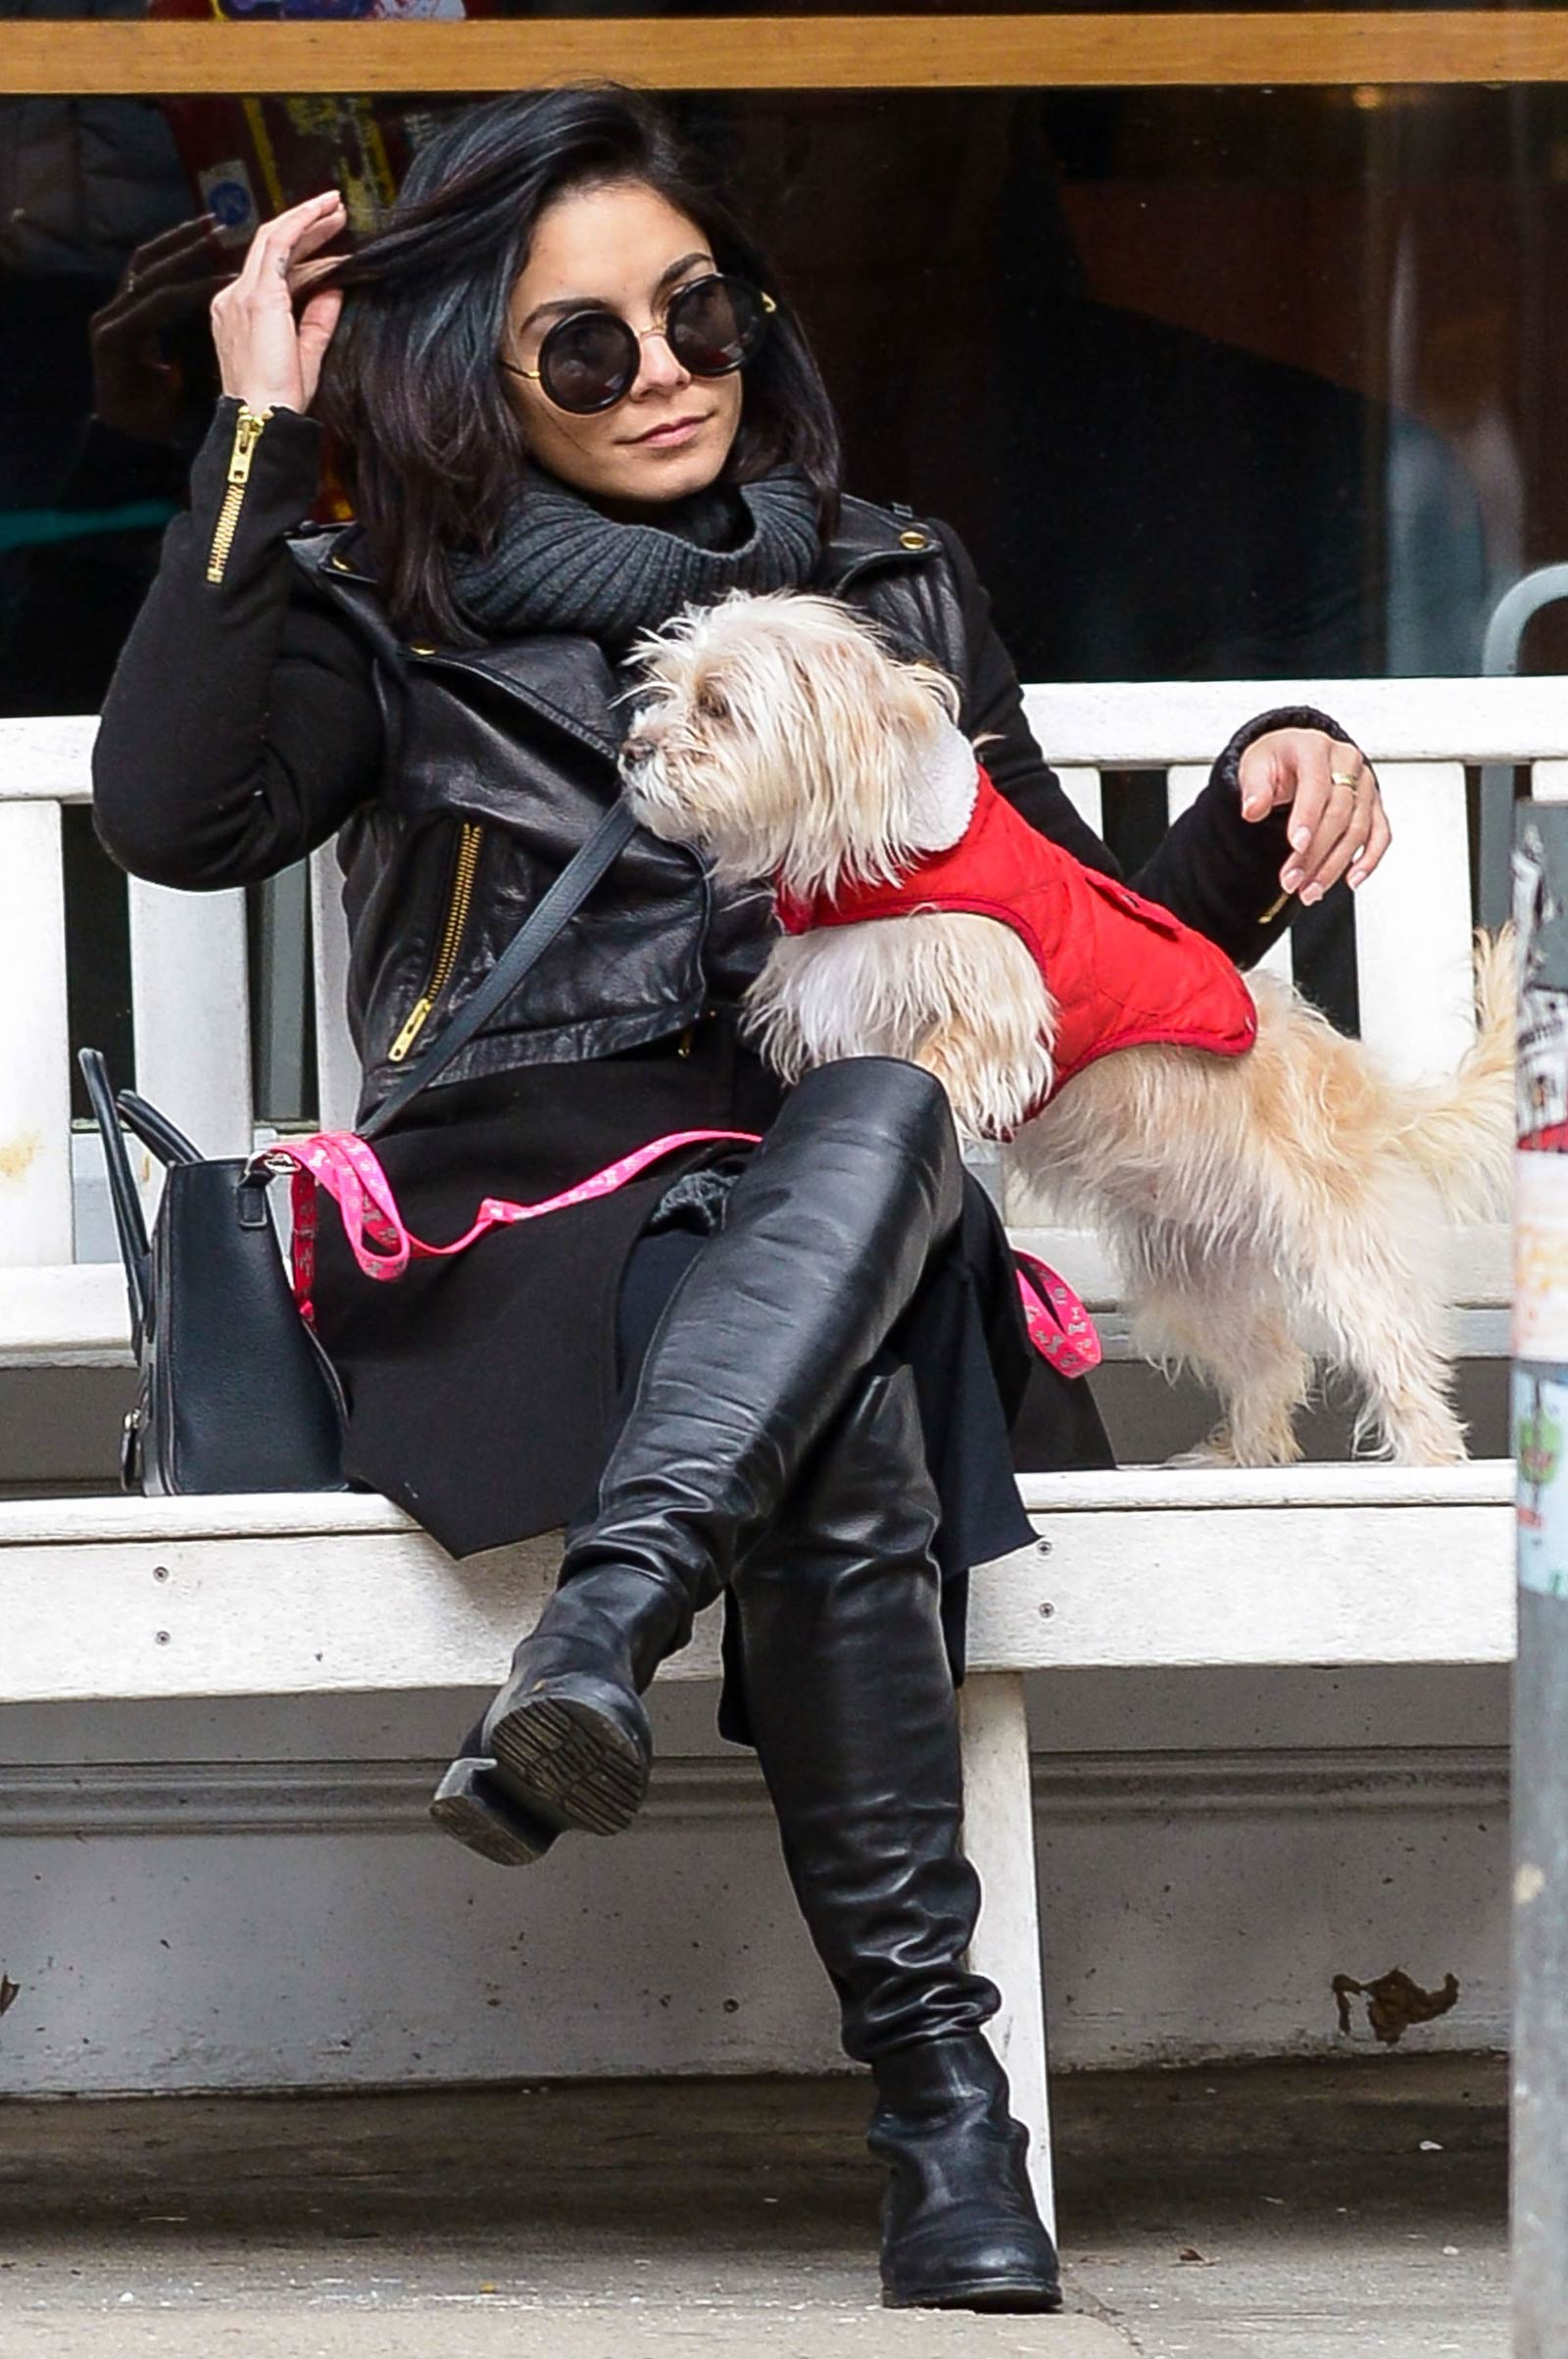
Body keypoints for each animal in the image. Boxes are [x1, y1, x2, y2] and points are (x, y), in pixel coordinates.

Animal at [617, 589, 1508, 1462]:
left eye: (719, 705)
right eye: (661, 687)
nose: (632, 749)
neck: (876, 867)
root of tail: (1370, 1095)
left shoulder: (996, 1009)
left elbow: (945, 1057)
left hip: (1344, 1255)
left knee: (1398, 1363)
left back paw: (1426, 1462)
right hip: (1194, 1268)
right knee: (1270, 1361)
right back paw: (1242, 1456)